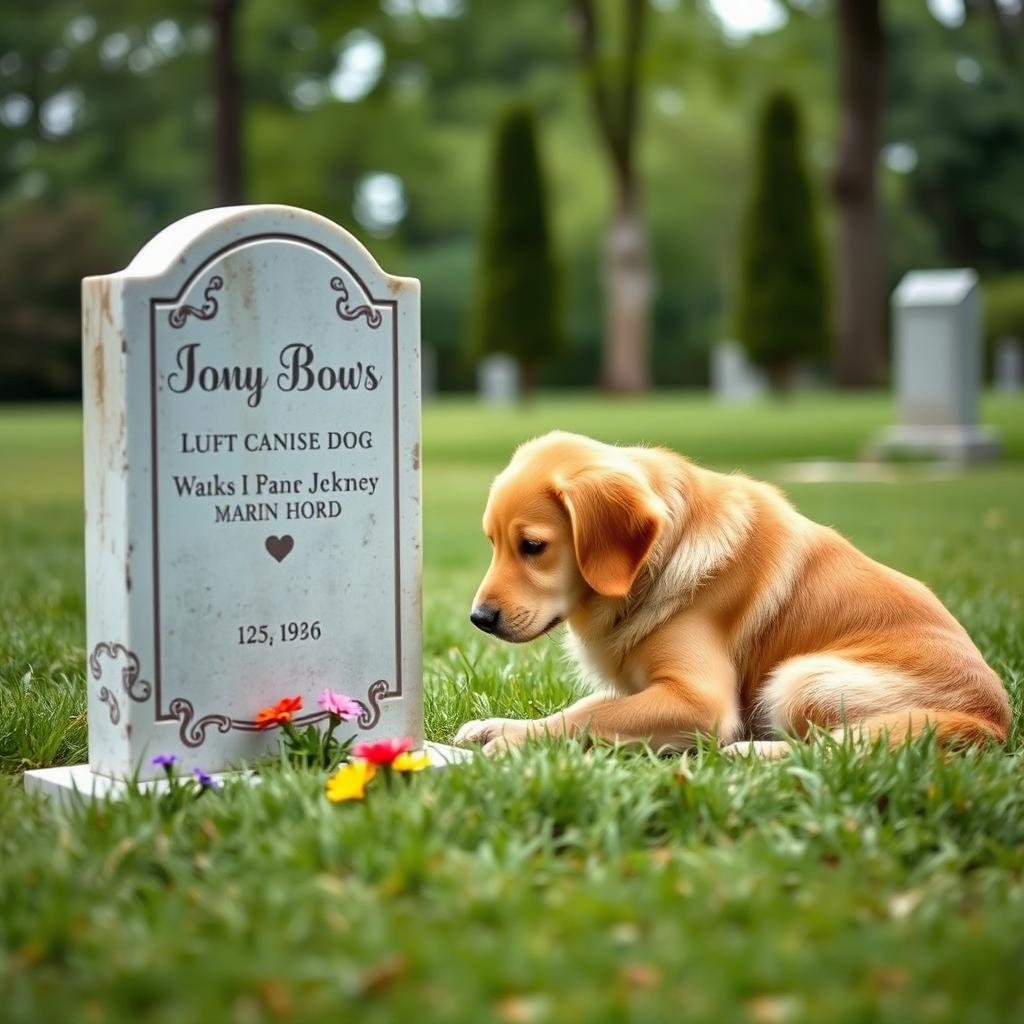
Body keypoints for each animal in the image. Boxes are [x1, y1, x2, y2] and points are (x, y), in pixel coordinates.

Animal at [454, 428, 1007, 757]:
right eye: (492, 542)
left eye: (532, 546)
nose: (479, 619)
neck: (661, 556)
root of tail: (994, 720)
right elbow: (581, 708)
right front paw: (498, 725)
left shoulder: (700, 700)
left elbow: (593, 714)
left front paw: (516, 742)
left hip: (801, 679)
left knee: (834, 748)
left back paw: (749, 753)